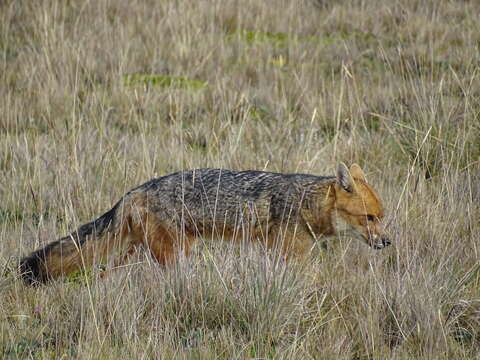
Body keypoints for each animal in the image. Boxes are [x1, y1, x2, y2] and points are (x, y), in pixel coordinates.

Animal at [18, 163, 390, 284]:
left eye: (382, 218)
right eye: (368, 218)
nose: (388, 243)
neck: (306, 202)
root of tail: (136, 189)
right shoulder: (289, 255)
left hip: (139, 252)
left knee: (105, 275)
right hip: (173, 254)